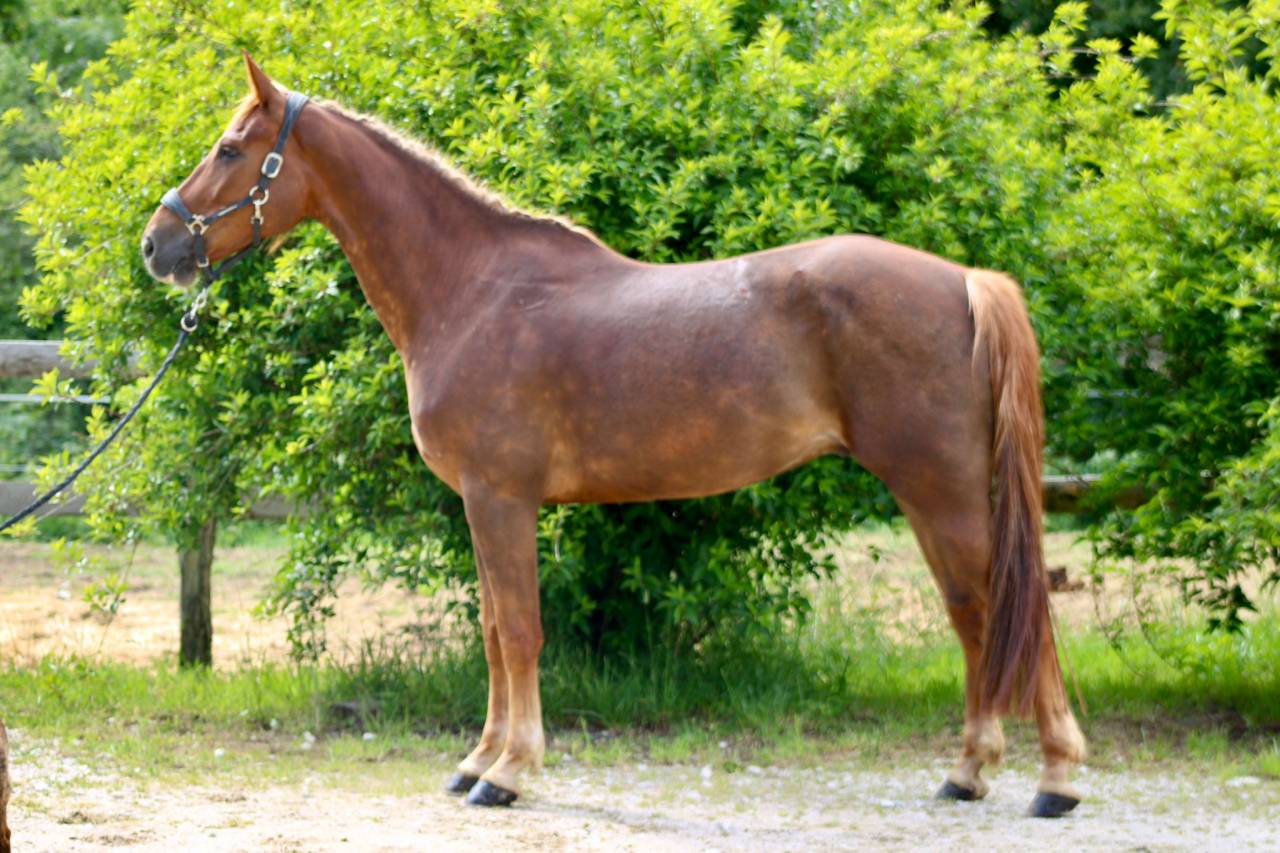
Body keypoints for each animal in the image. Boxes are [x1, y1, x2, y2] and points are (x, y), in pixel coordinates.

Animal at [142, 54, 1085, 815]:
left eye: (230, 150)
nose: (157, 246)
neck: (472, 289)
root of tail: (964, 281)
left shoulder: (501, 498)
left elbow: (519, 630)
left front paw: (508, 771)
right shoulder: (483, 505)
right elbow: (495, 628)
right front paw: (477, 758)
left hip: (941, 487)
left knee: (1010, 609)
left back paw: (1055, 780)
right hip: (938, 493)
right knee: (976, 614)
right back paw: (970, 772)